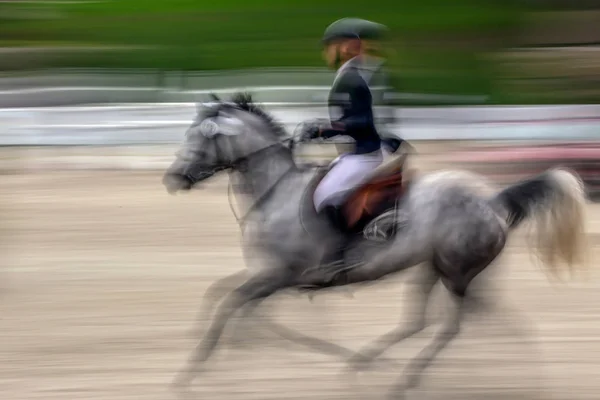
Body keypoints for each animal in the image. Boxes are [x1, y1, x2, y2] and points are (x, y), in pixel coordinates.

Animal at [161, 93, 584, 396]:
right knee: (444, 322)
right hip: (437, 268)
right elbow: (225, 298)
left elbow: (230, 307)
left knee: (449, 327)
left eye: (200, 138)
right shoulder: (267, 276)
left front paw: (191, 373)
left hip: (455, 272)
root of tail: (492, 200)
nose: (172, 178)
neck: (274, 191)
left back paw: (397, 379)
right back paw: (371, 365)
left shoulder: (276, 277)